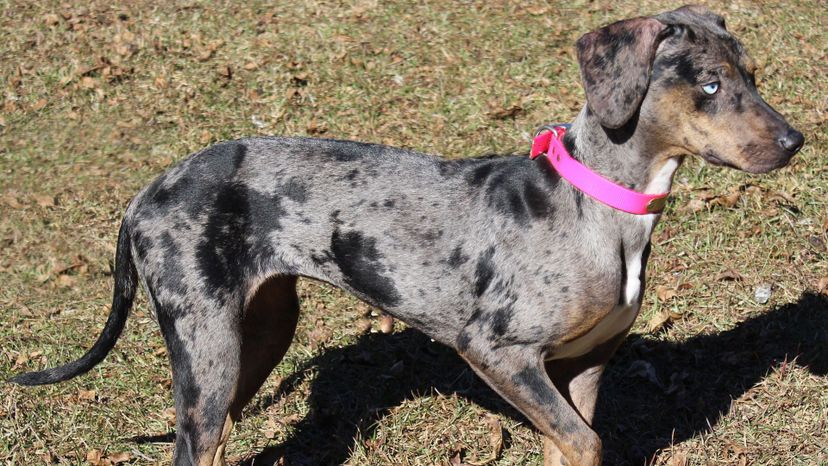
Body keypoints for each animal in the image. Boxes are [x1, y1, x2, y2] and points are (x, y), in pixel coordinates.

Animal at [11, 4, 804, 466]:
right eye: (708, 83)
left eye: (752, 74)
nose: (796, 142)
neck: (601, 208)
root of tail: (149, 190)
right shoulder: (498, 353)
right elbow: (584, 439)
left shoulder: (583, 367)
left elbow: (576, 442)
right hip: (207, 354)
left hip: (255, 340)